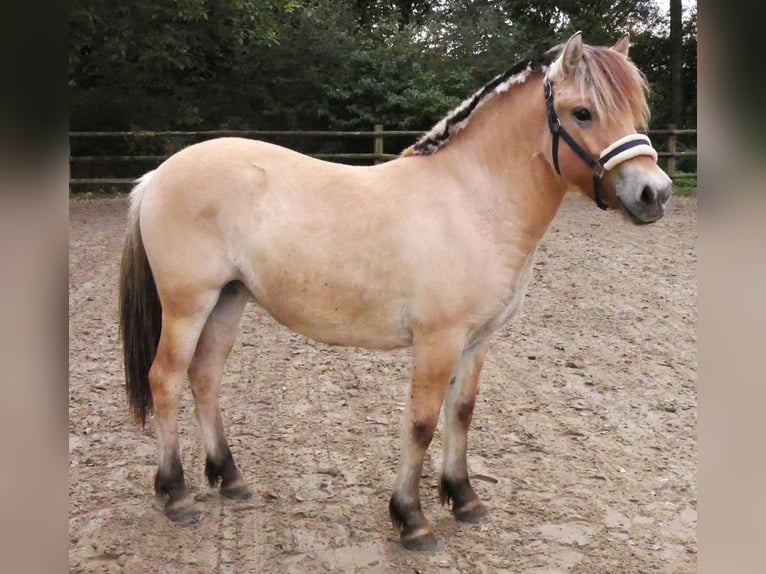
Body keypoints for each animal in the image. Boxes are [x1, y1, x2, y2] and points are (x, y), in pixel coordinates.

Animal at [119, 32, 671, 550]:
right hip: (188, 305)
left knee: (205, 377)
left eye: (635, 110)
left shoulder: (477, 340)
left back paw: (229, 478)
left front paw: (464, 498)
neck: (472, 200)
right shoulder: (438, 341)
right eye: (582, 112)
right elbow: (421, 423)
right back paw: (176, 494)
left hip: (228, 300)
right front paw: (412, 519)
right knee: (165, 379)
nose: (656, 193)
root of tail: (157, 176)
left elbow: (461, 413)